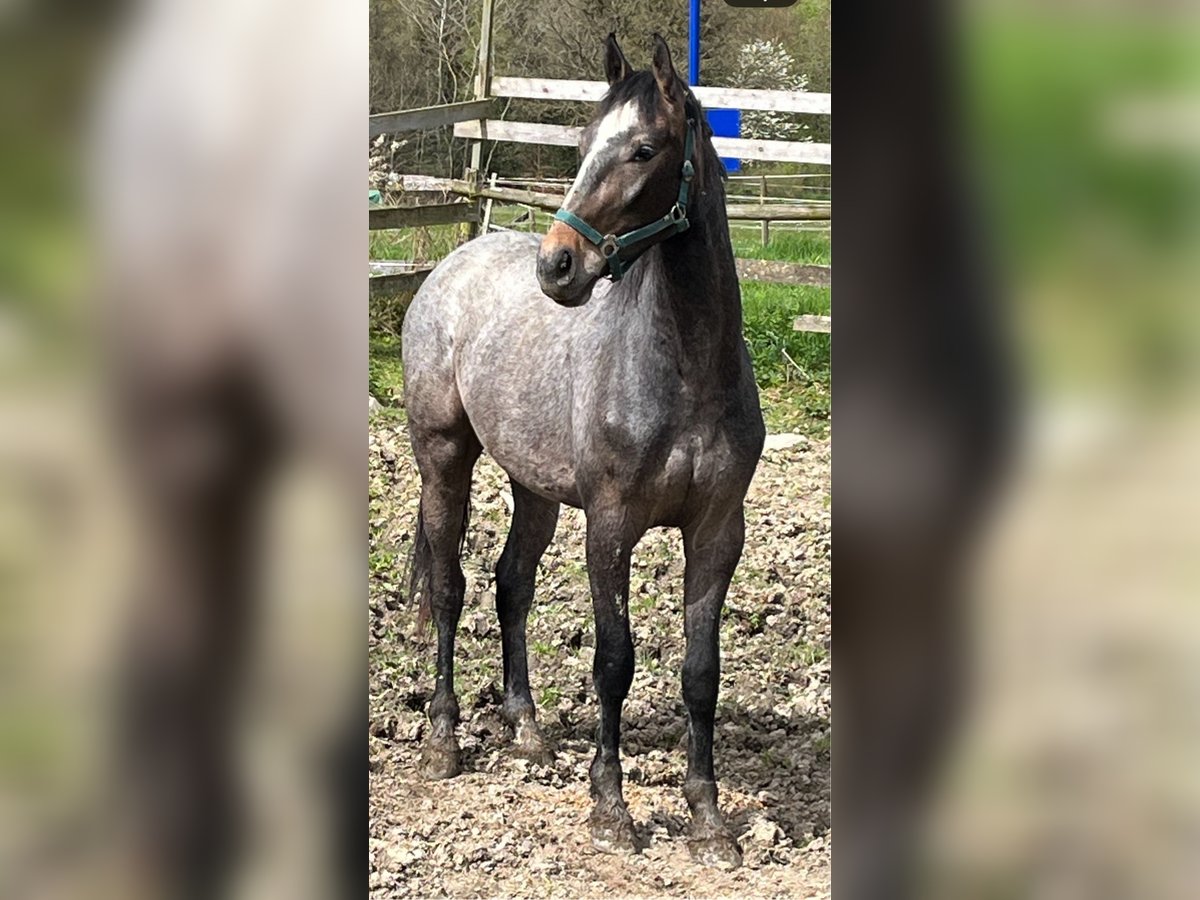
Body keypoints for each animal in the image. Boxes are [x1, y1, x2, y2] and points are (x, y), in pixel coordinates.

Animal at [398, 31, 763, 868]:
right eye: (583, 142)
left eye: (643, 148)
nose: (557, 264)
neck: (686, 370)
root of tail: (450, 268)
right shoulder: (611, 524)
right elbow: (613, 661)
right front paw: (611, 809)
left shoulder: (717, 531)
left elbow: (701, 671)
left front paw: (708, 820)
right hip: (443, 462)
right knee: (450, 587)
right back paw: (443, 740)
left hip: (532, 486)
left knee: (511, 584)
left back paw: (528, 730)